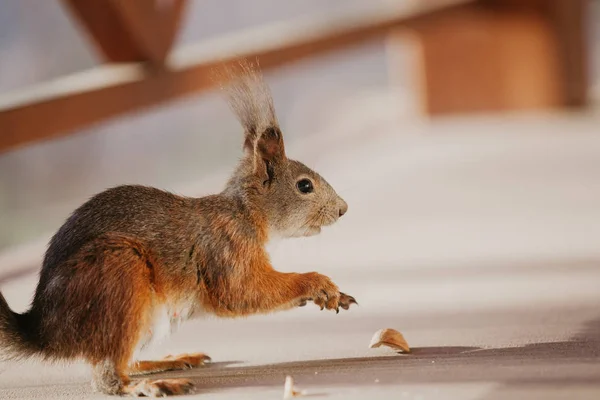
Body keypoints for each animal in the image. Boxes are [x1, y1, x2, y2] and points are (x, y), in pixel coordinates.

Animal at [0, 59, 356, 396]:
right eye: (304, 186)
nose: (343, 209)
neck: (245, 214)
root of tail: (47, 332)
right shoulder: (225, 250)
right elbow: (243, 292)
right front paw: (317, 283)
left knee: (126, 360)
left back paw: (166, 361)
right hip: (117, 275)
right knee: (108, 376)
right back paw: (147, 385)